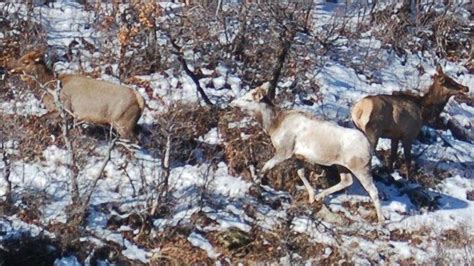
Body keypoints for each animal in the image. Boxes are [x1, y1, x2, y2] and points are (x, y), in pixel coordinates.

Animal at [6, 50, 144, 141]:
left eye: (26, 61)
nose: (9, 67)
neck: (48, 89)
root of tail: (140, 101)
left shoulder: (64, 109)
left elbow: (41, 118)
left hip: (123, 124)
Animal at [230, 82, 386, 222]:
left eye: (248, 99)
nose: (233, 103)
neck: (273, 126)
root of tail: (369, 147)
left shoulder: (285, 150)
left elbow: (267, 165)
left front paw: (255, 182)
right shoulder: (297, 155)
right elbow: (301, 173)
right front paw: (311, 196)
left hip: (361, 167)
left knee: (373, 190)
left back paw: (381, 220)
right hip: (342, 165)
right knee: (346, 181)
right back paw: (320, 196)